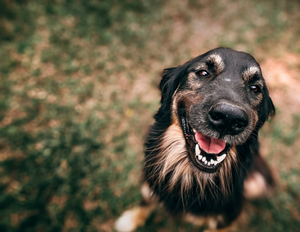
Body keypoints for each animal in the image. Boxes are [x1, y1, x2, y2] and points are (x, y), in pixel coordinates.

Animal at [116, 47, 276, 232]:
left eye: (255, 88)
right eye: (203, 72)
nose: (228, 118)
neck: (191, 175)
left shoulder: (228, 214)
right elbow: (145, 200)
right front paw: (132, 219)